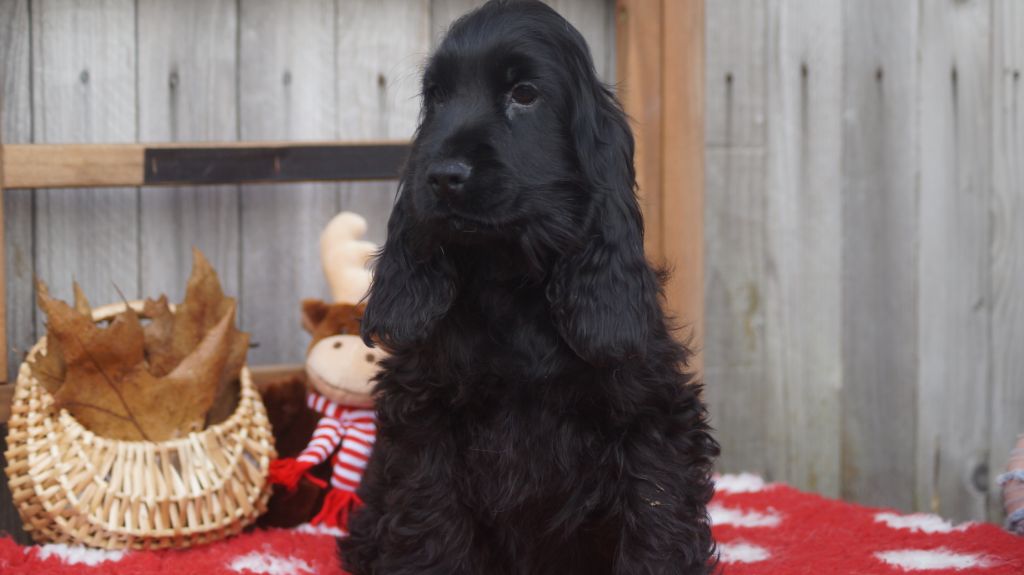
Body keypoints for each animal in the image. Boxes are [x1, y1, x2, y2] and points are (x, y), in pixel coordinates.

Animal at [339, 2, 716, 568]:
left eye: (524, 94)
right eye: (437, 96)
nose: (442, 175)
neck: (511, 281)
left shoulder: (652, 418)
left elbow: (656, 522)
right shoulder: (425, 419)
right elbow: (432, 526)